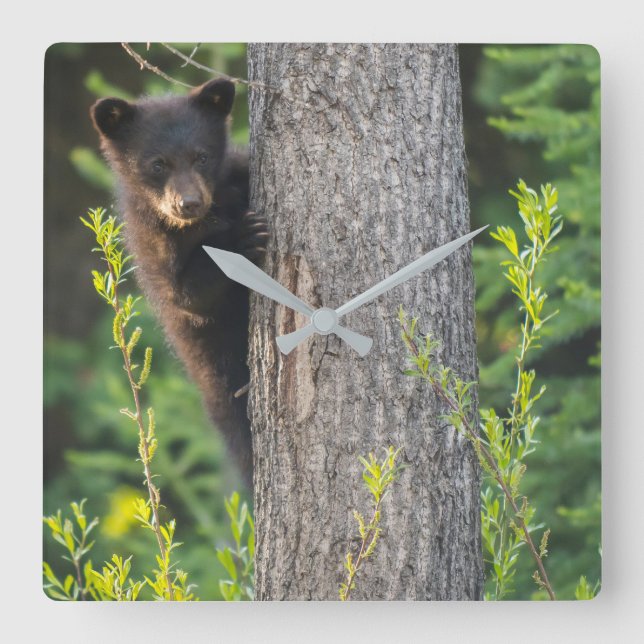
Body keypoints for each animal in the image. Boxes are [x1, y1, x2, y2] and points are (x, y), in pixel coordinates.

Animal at [90, 78, 267, 485]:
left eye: (201, 157)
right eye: (158, 164)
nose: (189, 203)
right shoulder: (152, 246)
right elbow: (189, 294)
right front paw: (243, 238)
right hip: (214, 370)